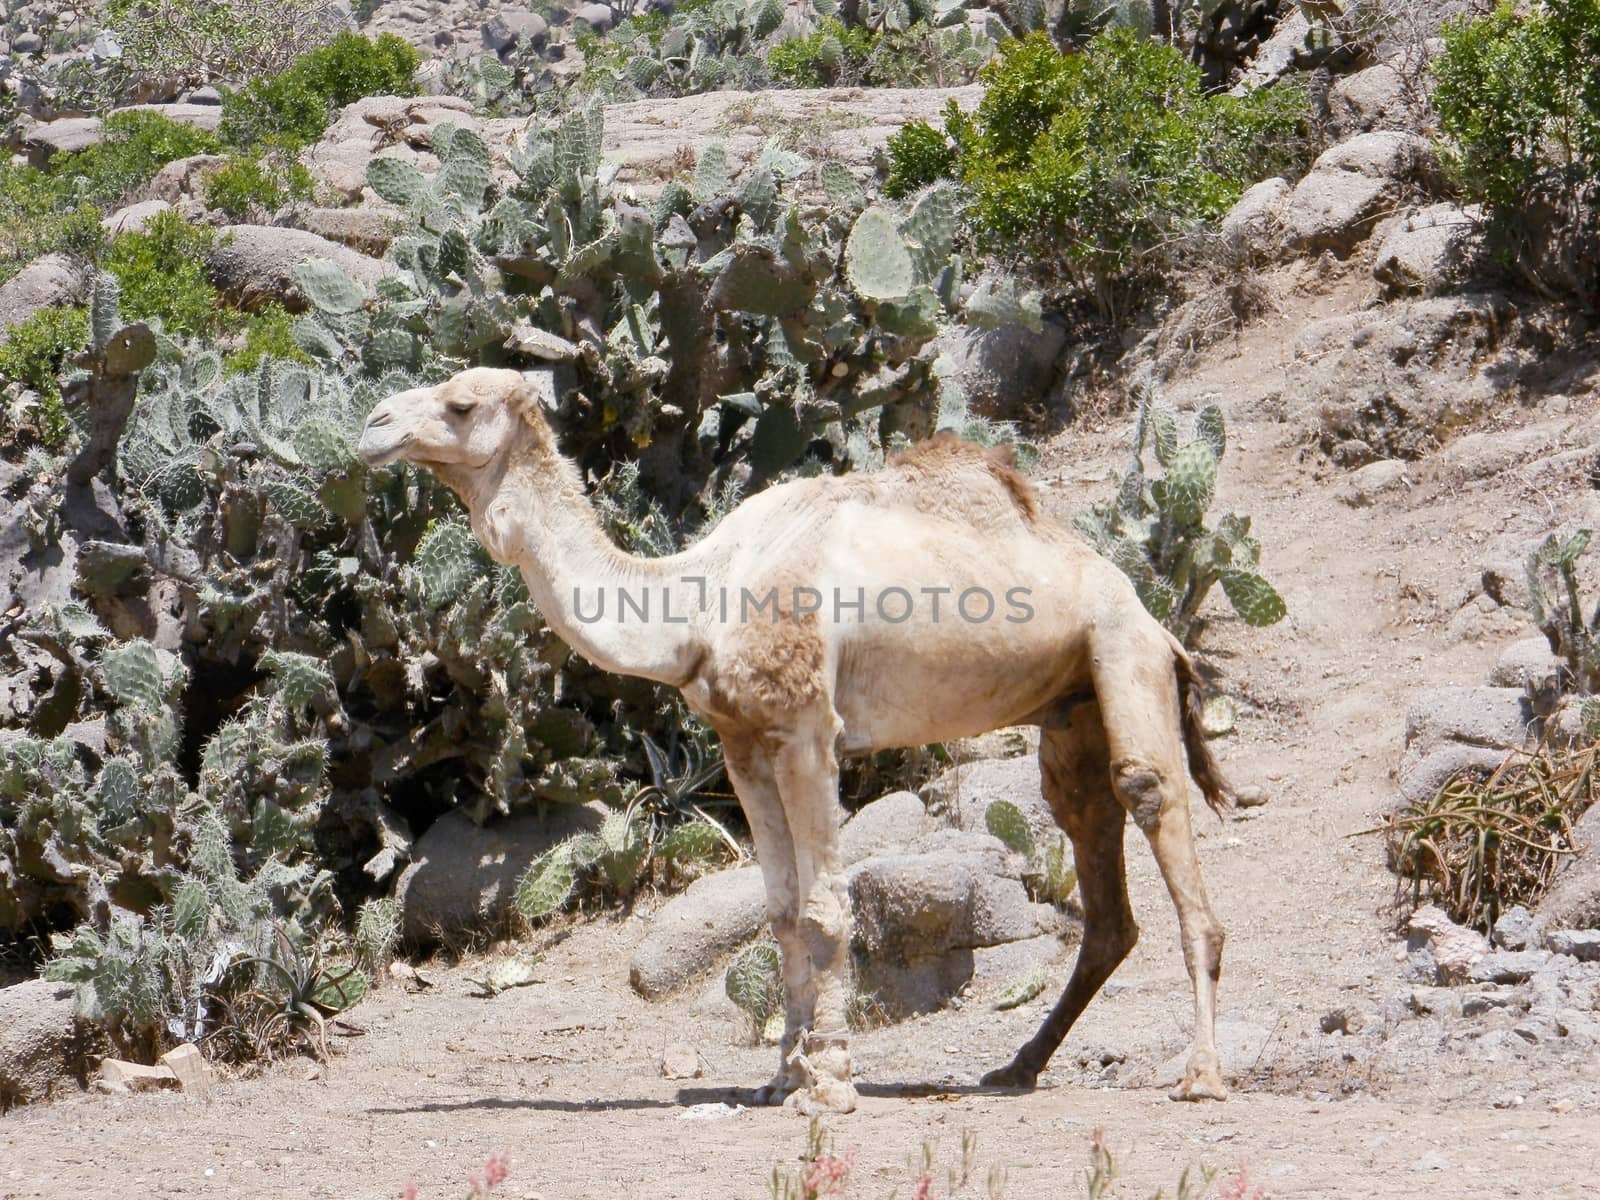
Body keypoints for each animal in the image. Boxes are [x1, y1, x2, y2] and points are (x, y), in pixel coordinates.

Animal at [356, 366, 1235, 1120]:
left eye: (460, 404)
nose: (371, 425)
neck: (697, 604)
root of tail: (1152, 614)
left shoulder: (810, 729)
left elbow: (822, 908)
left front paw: (833, 1081)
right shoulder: (742, 740)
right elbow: (778, 912)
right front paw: (781, 1078)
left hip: (1123, 652)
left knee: (1150, 793)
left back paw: (1201, 1073)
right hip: (1071, 706)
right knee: (1094, 858)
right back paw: (1016, 1067)